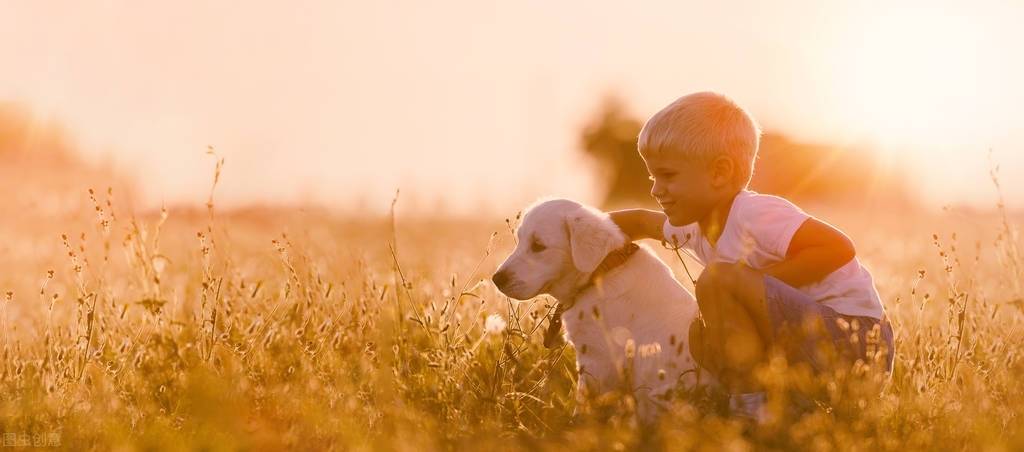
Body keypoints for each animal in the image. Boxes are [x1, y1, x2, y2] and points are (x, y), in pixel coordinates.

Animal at [491, 198, 708, 420]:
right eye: (520, 241)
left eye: (538, 246)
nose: (497, 279)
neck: (600, 273)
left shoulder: (597, 361)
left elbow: (584, 404)